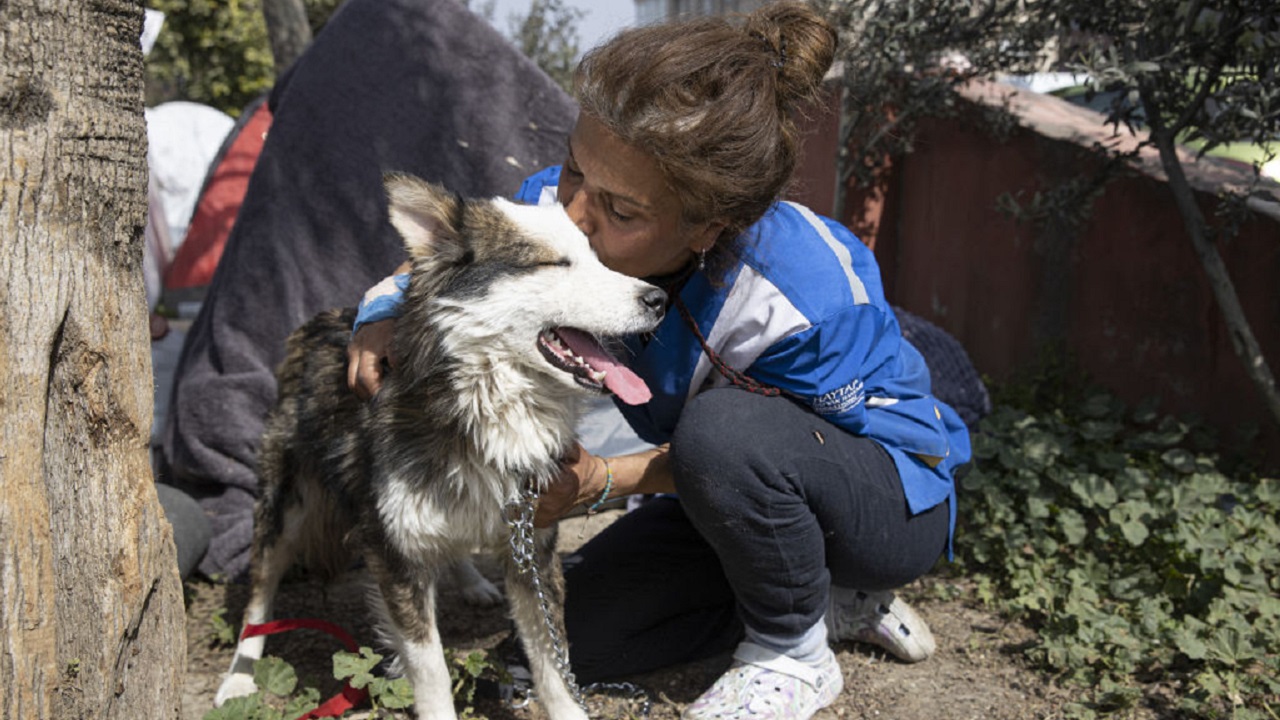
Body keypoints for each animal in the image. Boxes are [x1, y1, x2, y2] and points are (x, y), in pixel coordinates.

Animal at [213, 174, 665, 717]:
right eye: (554, 263)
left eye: (596, 257)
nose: (660, 299)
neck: (485, 407)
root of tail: (315, 322)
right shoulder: (396, 557)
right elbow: (431, 672)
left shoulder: (532, 545)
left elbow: (553, 662)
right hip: (287, 503)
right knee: (260, 593)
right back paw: (238, 678)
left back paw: (470, 581)